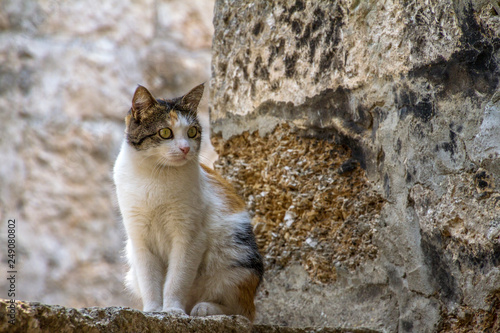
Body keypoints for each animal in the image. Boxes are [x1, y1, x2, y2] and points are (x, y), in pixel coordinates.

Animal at [112, 82, 262, 320]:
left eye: (192, 132)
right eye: (165, 132)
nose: (185, 148)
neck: (155, 176)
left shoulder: (189, 237)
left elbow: (177, 279)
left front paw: (173, 310)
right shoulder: (139, 239)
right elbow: (149, 280)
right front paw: (153, 311)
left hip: (235, 259)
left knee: (244, 311)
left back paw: (205, 308)